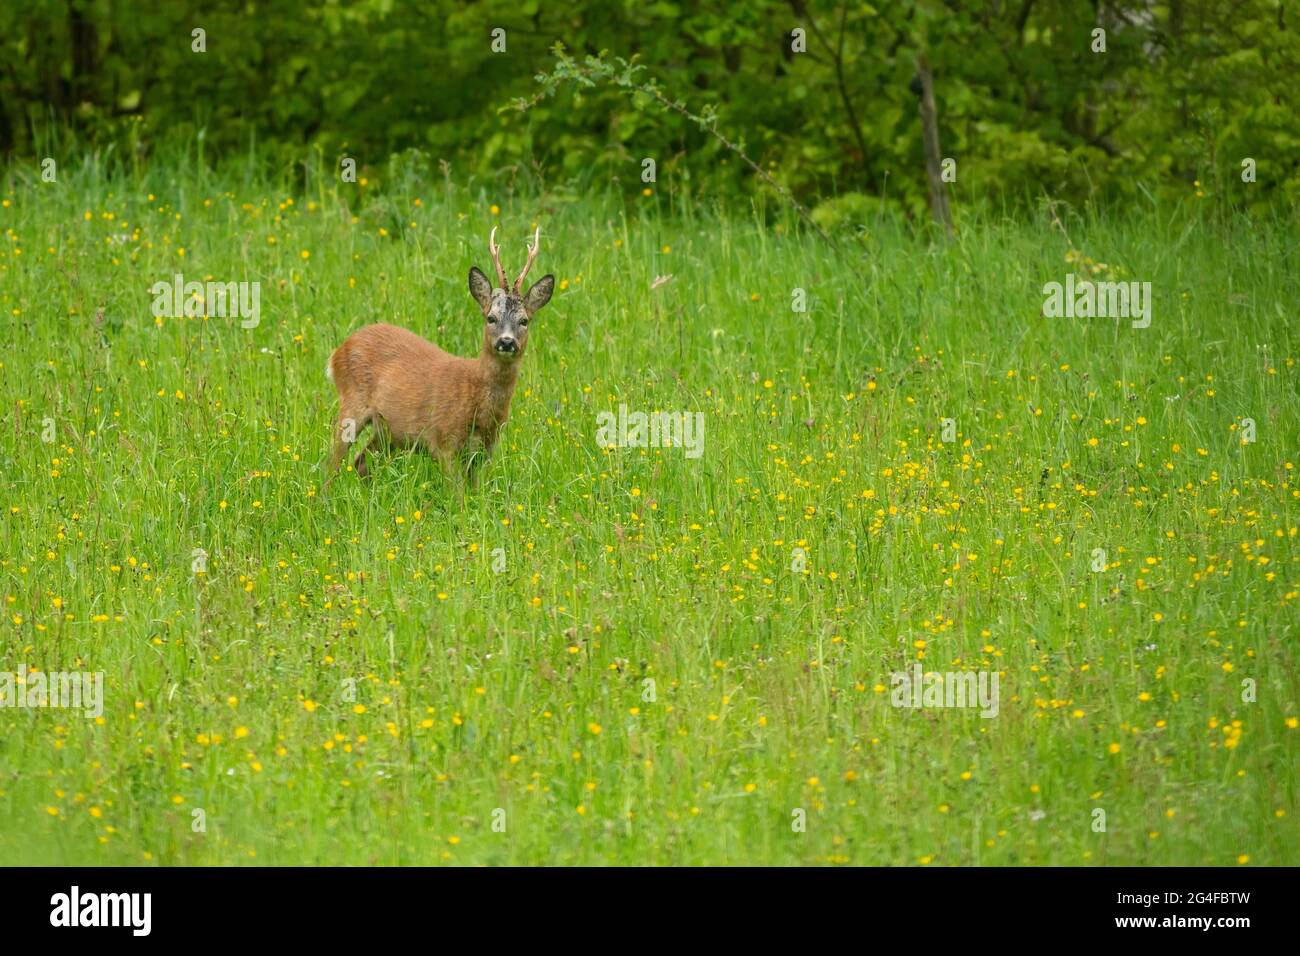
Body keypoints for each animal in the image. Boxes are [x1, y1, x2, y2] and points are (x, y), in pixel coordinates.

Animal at [325, 227, 553, 489]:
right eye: (491, 317)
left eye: (524, 320)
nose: (506, 342)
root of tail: (338, 351)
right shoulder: (443, 442)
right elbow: (457, 494)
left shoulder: (484, 451)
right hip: (351, 404)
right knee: (331, 464)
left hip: (389, 431)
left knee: (360, 461)